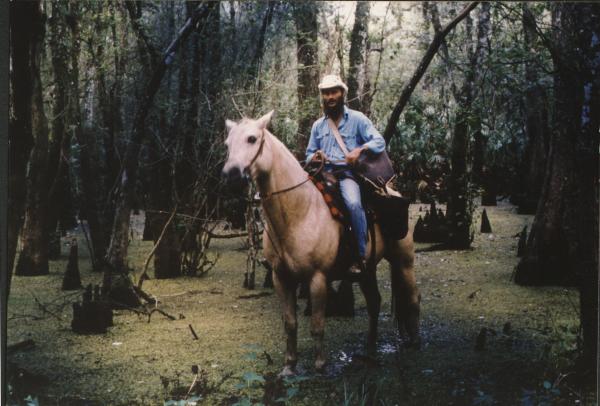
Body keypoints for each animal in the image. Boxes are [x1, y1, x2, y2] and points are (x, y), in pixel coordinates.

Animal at [221, 110, 422, 374]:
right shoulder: (281, 278)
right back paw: (369, 348)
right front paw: (290, 365)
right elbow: (290, 323)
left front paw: (320, 365)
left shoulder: (317, 278)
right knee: (374, 303)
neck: (299, 212)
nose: (231, 175)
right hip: (367, 269)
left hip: (404, 261)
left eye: (252, 139)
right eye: (227, 144)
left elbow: (317, 324)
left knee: (413, 299)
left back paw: (415, 342)